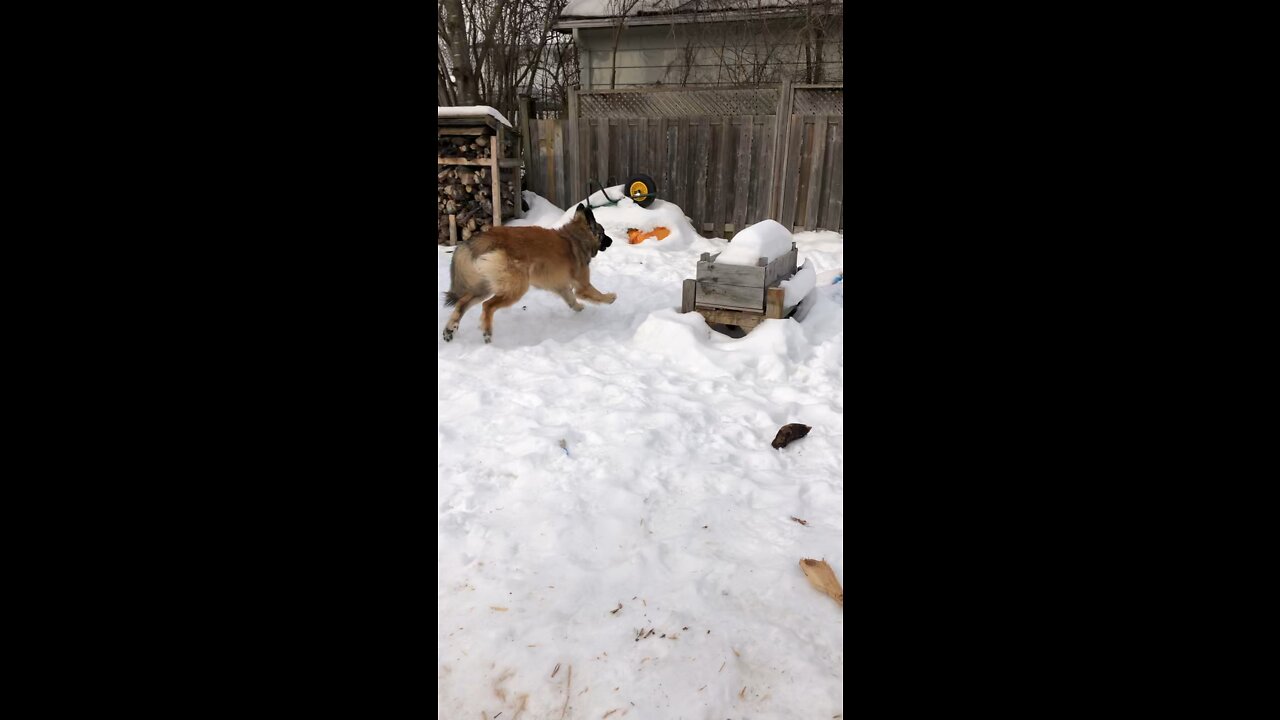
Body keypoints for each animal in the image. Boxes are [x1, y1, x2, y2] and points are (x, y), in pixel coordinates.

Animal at [445, 202, 614, 340]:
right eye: (603, 232)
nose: (611, 241)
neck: (576, 237)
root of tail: (488, 236)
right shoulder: (582, 284)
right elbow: (594, 294)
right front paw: (609, 298)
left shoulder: (562, 286)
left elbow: (571, 300)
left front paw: (579, 307)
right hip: (516, 288)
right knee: (487, 305)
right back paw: (487, 331)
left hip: (485, 287)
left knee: (462, 303)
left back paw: (449, 329)